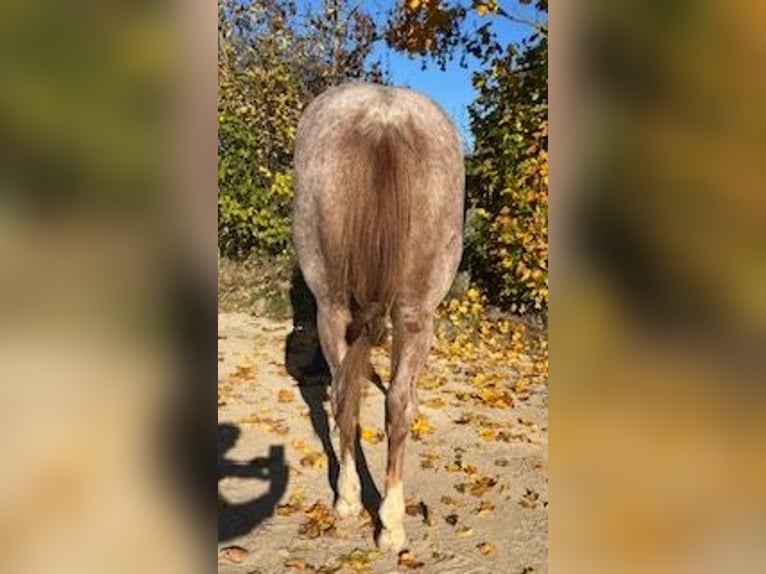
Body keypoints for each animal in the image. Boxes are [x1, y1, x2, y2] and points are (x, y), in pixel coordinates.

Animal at [292, 82, 462, 552]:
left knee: (346, 394)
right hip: (414, 312)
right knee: (391, 401)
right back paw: (383, 519)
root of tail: (383, 119)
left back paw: (354, 503)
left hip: (334, 305)